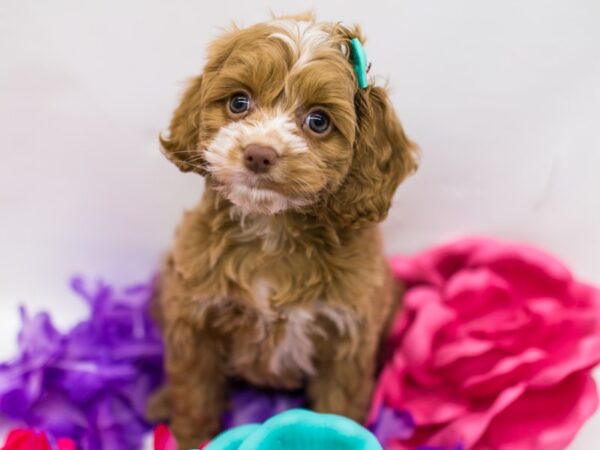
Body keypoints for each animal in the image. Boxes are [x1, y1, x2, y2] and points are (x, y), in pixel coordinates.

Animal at [150, 12, 420, 448]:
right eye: (239, 102)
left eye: (318, 121)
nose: (259, 153)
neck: (272, 230)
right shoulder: (194, 321)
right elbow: (195, 394)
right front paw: (190, 436)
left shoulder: (347, 338)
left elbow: (339, 407)